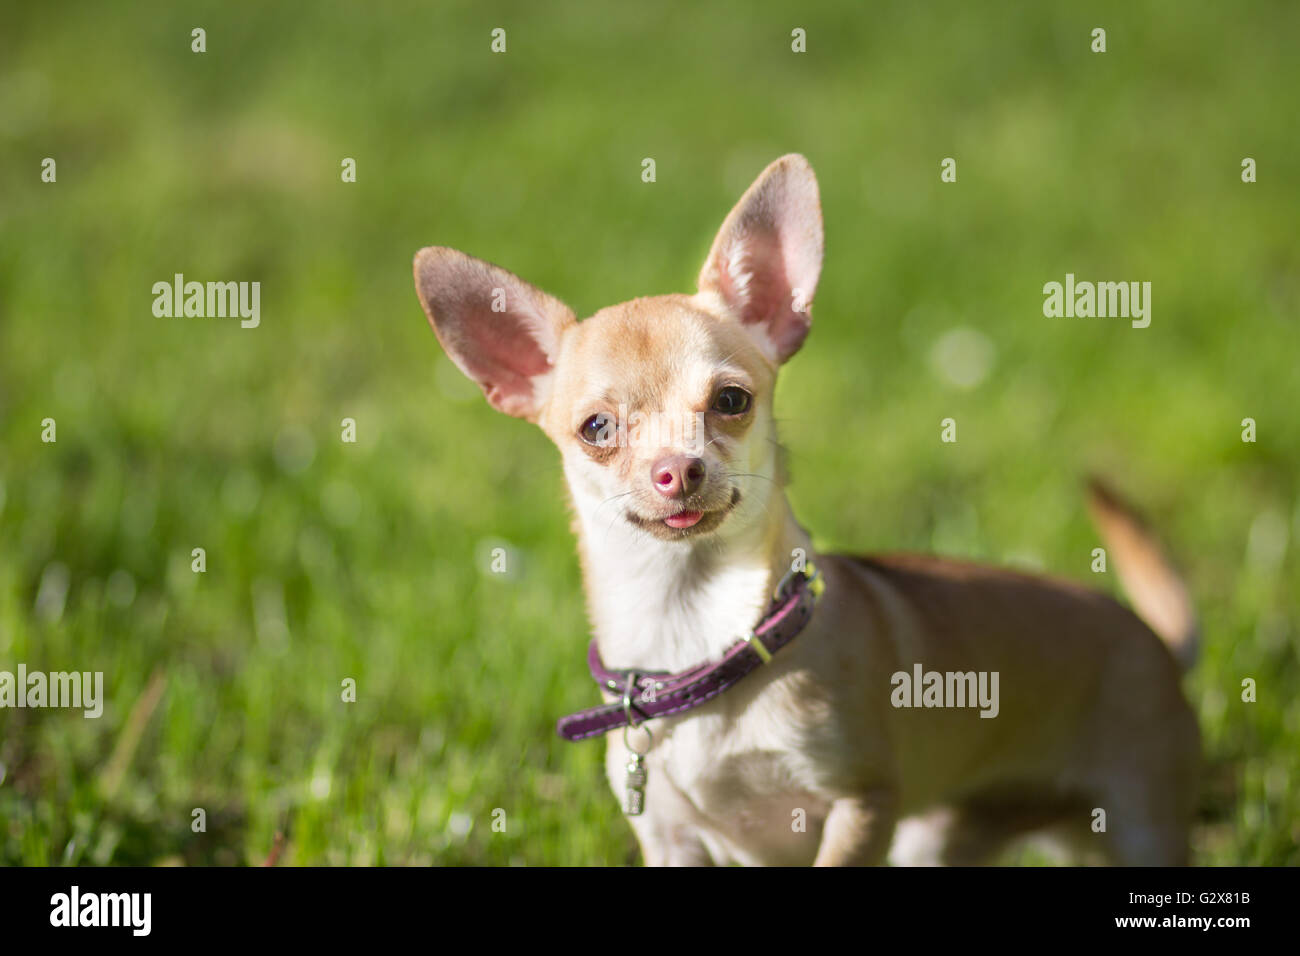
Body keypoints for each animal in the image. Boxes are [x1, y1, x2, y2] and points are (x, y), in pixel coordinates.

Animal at [413, 153, 1196, 863]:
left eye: (731, 400)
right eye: (596, 428)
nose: (678, 470)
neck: (696, 634)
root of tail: (1159, 644)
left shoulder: (860, 804)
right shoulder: (671, 839)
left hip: (1137, 825)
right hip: (942, 840)